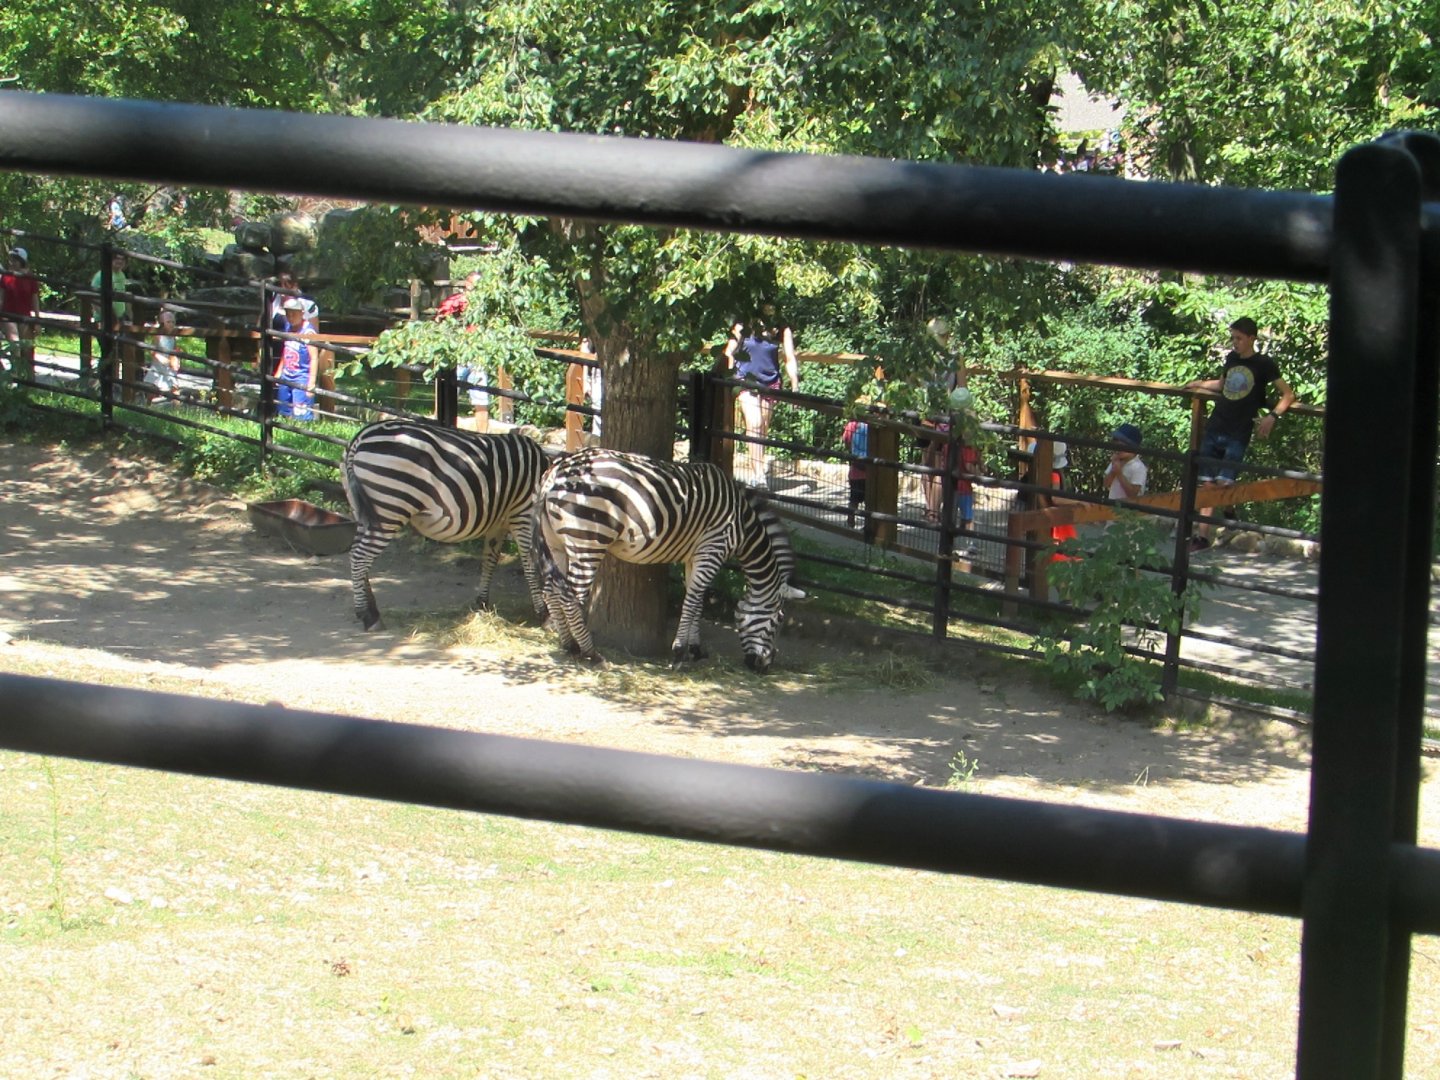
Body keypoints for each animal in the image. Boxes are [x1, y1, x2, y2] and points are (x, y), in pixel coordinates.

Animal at [342, 420, 550, 631]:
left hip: (363, 510)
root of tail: (361, 437)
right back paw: (368, 616)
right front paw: (543, 614)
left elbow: (489, 560)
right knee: (360, 557)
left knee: (356, 553)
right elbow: (530, 564)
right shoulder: (524, 514)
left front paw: (482, 603)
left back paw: (371, 608)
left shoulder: (499, 522)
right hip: (389, 508)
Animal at [532, 447, 796, 672]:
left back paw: (568, 645)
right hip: (588, 541)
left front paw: (695, 649)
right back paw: (590, 652)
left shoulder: (695, 555)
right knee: (570, 597)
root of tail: (557, 469)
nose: (764, 667)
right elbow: (693, 600)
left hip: (556, 542)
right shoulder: (713, 549)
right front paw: (679, 653)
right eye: (779, 620)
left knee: (551, 590)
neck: (742, 521)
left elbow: (696, 598)